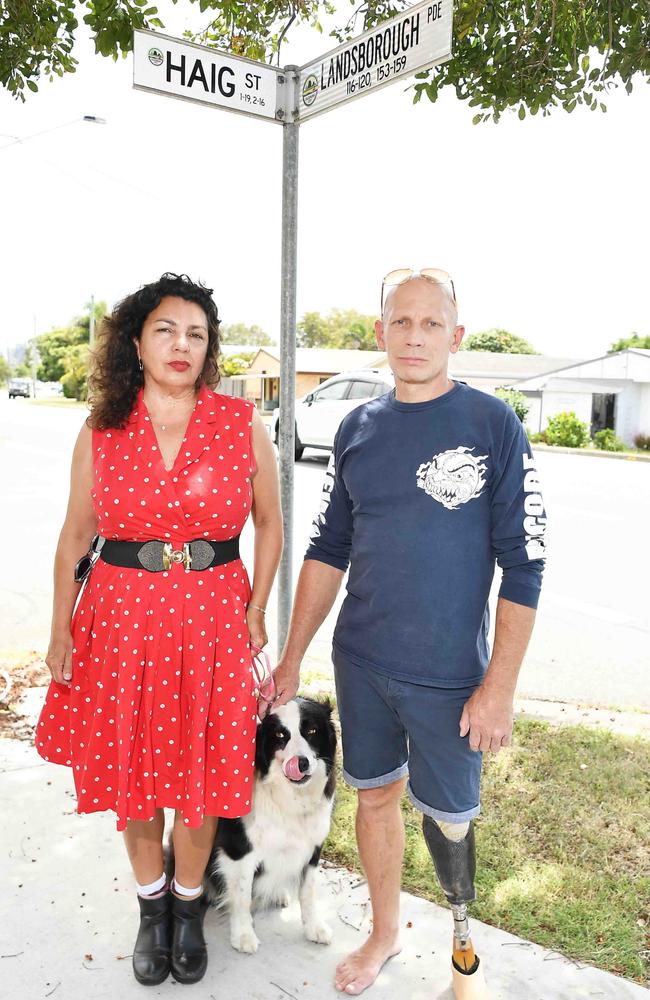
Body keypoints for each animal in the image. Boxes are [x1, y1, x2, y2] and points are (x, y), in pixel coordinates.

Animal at [204, 696, 336, 952]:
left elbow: (308, 891)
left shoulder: (313, 848)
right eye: (280, 735)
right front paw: (243, 934)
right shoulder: (239, 850)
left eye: (312, 731)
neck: (291, 798)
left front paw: (313, 927)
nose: (301, 763)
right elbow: (242, 896)